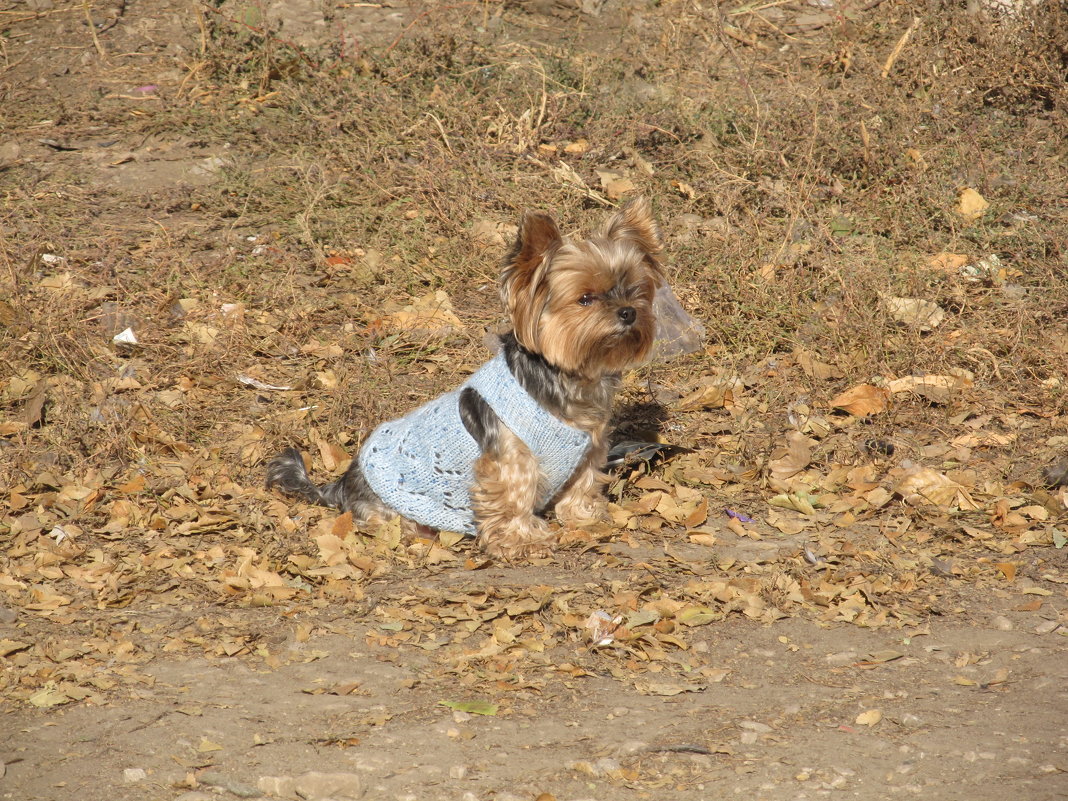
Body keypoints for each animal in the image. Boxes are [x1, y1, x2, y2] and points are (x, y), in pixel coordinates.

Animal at [265, 196, 662, 559]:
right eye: (585, 299)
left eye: (635, 290)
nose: (628, 312)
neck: (566, 377)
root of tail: (341, 486)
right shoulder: (509, 457)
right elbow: (513, 497)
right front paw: (522, 542)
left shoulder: (589, 446)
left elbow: (584, 482)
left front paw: (585, 518)